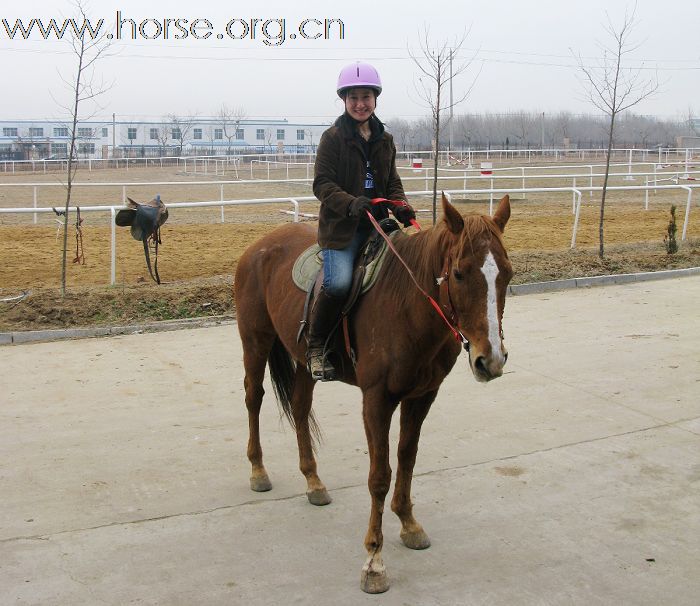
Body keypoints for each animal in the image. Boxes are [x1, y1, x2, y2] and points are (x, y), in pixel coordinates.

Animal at [232, 194, 512, 592]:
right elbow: (379, 476)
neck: (407, 305)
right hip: (255, 341)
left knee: (300, 408)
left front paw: (409, 523)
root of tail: (260, 245)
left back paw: (313, 481)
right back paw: (258, 470)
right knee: (253, 398)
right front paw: (374, 561)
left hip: (303, 360)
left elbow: (407, 459)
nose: (491, 360)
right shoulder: (377, 401)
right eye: (459, 273)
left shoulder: (422, 396)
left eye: (508, 273)